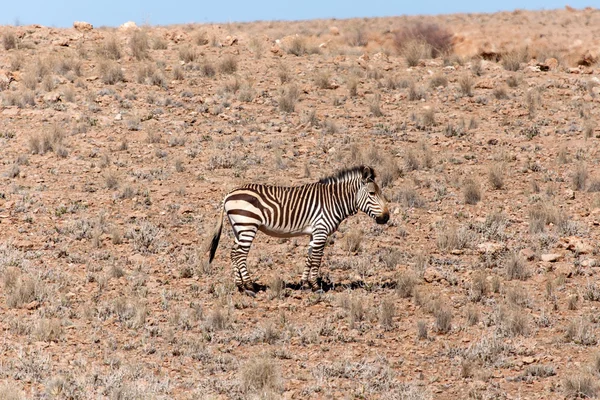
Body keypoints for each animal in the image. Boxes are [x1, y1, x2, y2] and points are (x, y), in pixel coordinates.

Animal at [209, 164, 392, 296]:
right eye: (372, 193)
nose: (386, 217)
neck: (334, 200)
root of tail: (229, 194)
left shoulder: (314, 233)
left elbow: (309, 257)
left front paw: (305, 284)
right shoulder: (321, 230)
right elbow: (317, 259)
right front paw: (316, 287)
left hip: (238, 227)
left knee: (233, 253)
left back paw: (239, 286)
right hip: (247, 225)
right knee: (240, 254)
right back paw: (249, 287)